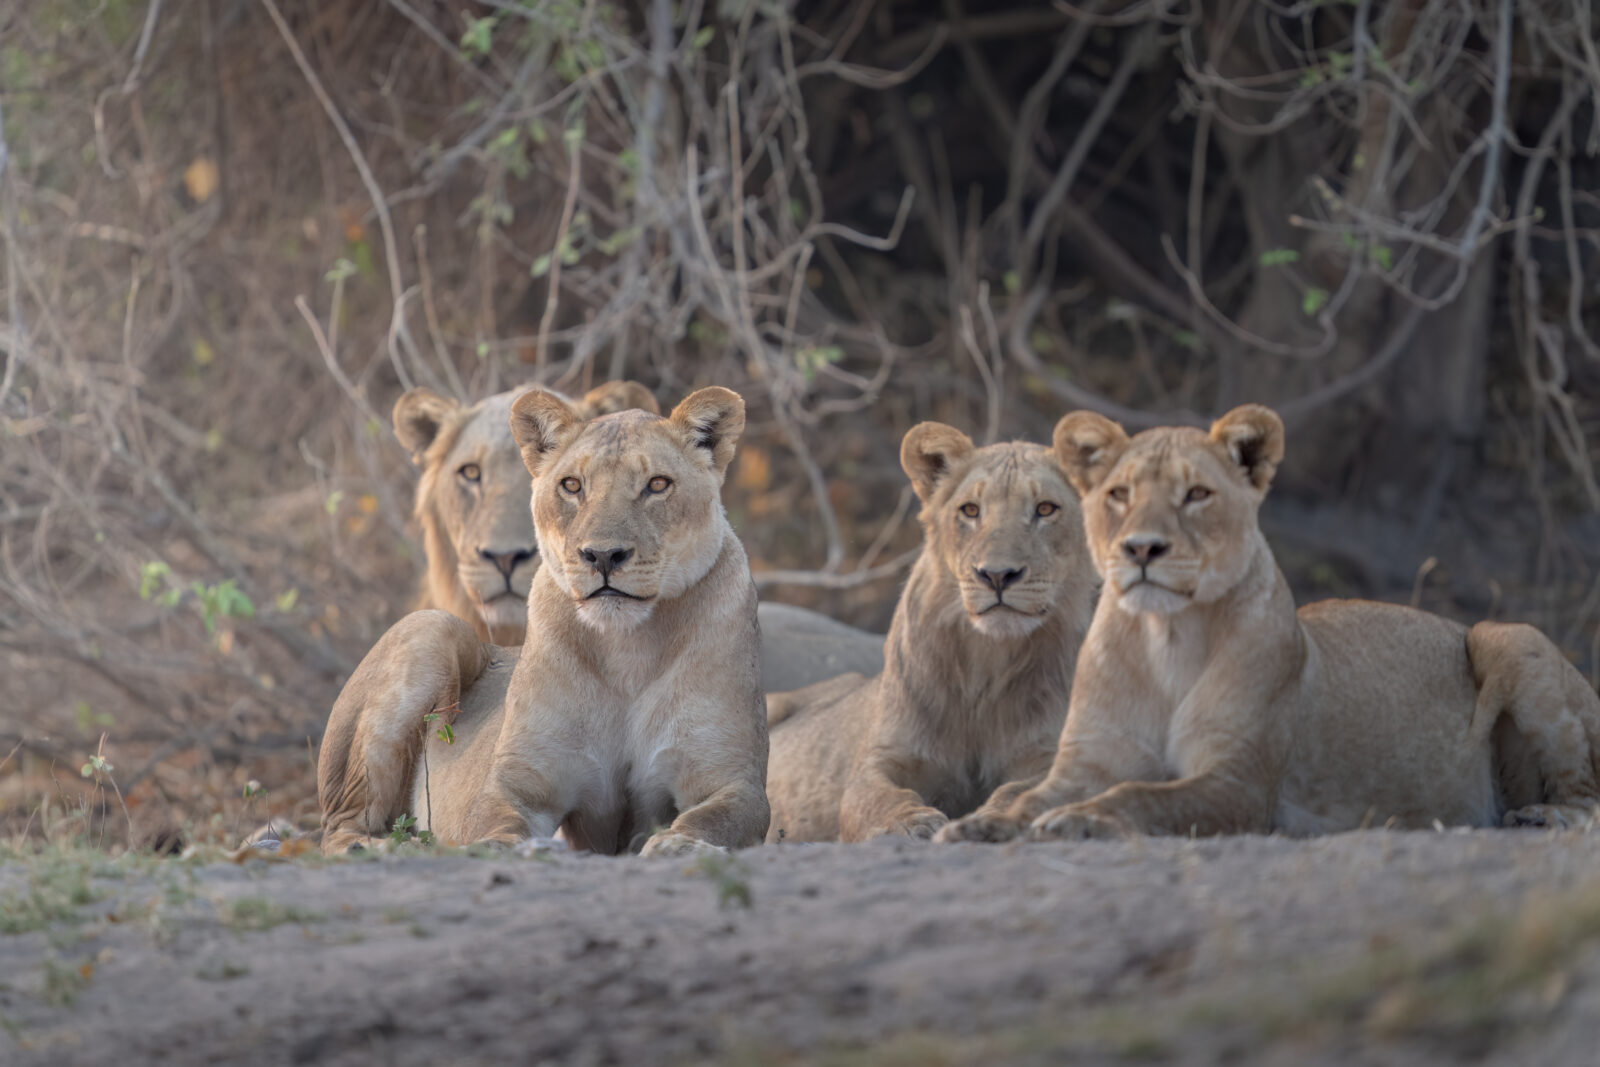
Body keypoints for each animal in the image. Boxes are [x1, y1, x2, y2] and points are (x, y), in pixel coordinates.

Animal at [320, 387, 770, 856]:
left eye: (657, 484)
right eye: (572, 485)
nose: (602, 555)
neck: (626, 649)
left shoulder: (731, 779)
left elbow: (716, 818)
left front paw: (678, 844)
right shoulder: (518, 784)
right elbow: (493, 820)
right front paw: (499, 848)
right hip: (431, 628)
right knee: (342, 826)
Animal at [763, 419, 1097, 842]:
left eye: (1046, 509)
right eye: (970, 510)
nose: (996, 575)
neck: (988, 661)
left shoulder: (1048, 756)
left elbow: (1018, 792)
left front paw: (984, 822)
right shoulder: (884, 757)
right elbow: (875, 797)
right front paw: (912, 822)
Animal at [938, 404, 1600, 844]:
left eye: (1197, 494)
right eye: (1120, 493)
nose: (1141, 548)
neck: (1165, 638)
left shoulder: (1240, 785)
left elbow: (1144, 795)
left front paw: (1082, 819)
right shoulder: (1086, 763)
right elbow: (1025, 795)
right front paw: (982, 822)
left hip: (1505, 634)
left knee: (1585, 791)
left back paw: (1541, 814)